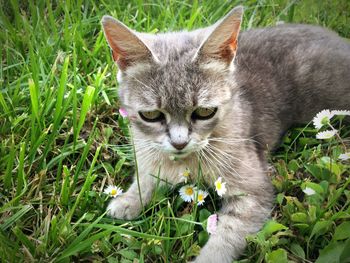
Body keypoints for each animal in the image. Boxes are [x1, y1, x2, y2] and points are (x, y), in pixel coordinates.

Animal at [101, 5, 350, 262]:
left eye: (204, 112)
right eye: (151, 115)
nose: (180, 143)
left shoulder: (253, 192)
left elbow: (226, 235)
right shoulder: (147, 150)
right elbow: (147, 177)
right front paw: (129, 200)